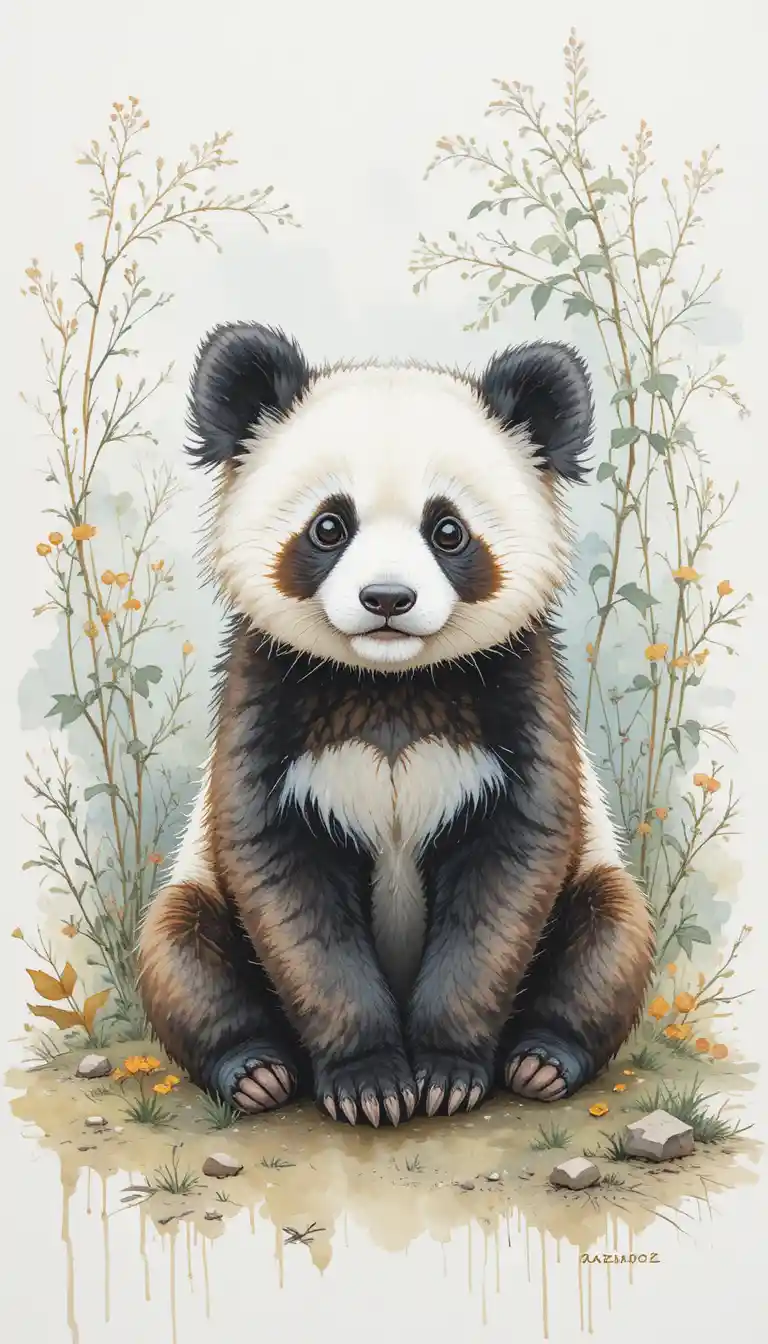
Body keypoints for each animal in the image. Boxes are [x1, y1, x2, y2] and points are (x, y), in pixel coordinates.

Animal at [138, 322, 654, 1128]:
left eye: (448, 530)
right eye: (329, 526)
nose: (387, 598)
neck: (389, 682)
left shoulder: (518, 701)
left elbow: (508, 872)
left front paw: (443, 1075)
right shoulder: (267, 706)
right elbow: (286, 884)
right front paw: (372, 1085)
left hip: (599, 876)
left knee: (613, 931)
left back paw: (542, 1060)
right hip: (196, 888)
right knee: (179, 946)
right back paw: (256, 1071)